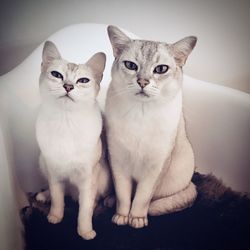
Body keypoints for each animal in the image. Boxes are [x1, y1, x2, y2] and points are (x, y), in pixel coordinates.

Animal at [35, 41, 110, 240]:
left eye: (83, 81)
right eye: (56, 75)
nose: (68, 86)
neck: (66, 122)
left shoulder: (88, 177)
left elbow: (84, 210)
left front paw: (85, 232)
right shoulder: (54, 171)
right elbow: (57, 198)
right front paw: (55, 216)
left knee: (96, 198)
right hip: (42, 161)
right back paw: (43, 196)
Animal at [105, 25, 197, 229]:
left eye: (161, 69)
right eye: (131, 65)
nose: (142, 82)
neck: (141, 113)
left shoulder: (156, 166)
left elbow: (142, 198)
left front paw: (137, 219)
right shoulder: (118, 161)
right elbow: (123, 196)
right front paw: (121, 216)